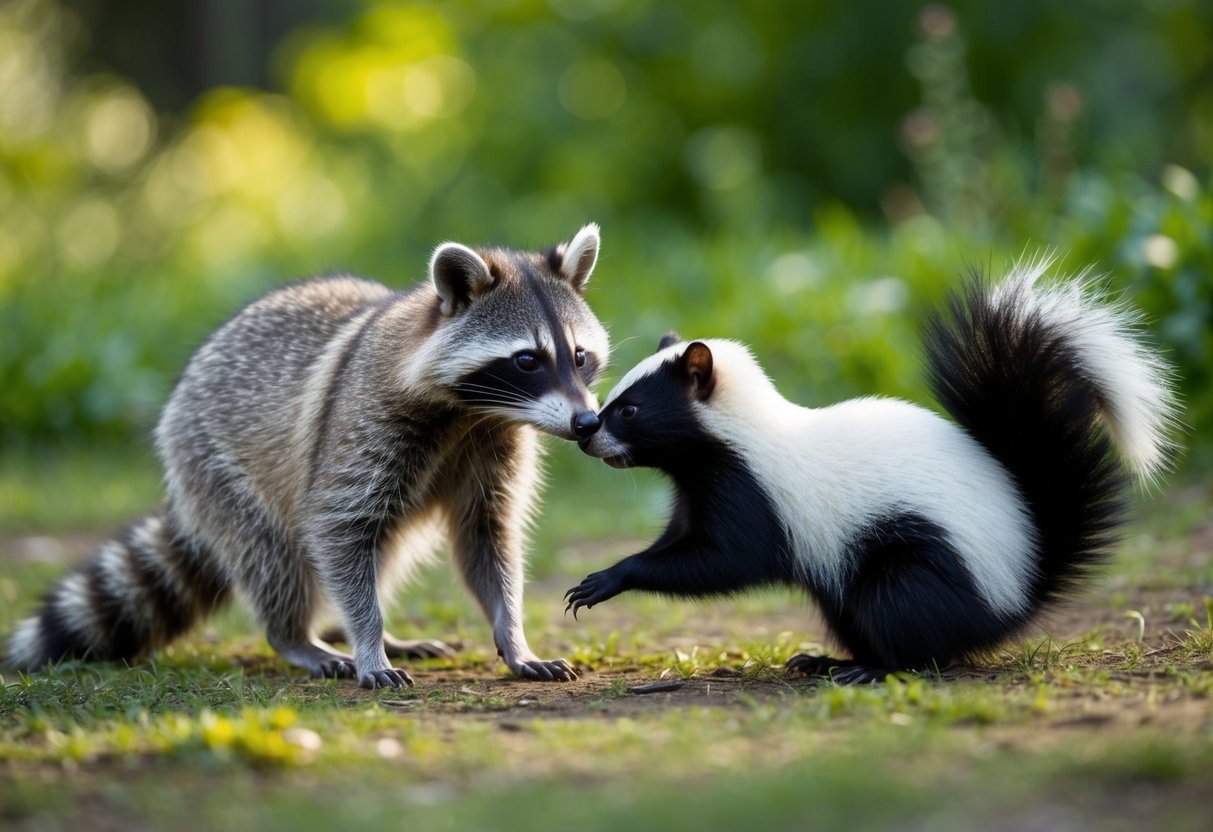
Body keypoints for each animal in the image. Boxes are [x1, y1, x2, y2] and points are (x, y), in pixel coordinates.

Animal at [7, 224, 609, 688]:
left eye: (580, 356)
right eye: (527, 359)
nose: (588, 423)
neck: (471, 412)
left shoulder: (493, 445)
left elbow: (487, 537)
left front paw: (514, 637)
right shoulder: (361, 424)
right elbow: (335, 523)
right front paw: (368, 642)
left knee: (383, 550)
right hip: (208, 459)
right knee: (275, 555)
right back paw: (300, 636)